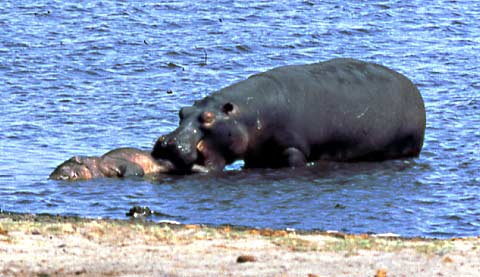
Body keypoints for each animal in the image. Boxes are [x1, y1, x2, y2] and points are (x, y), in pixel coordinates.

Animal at [152, 57, 426, 171]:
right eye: (182, 112)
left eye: (208, 118)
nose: (169, 142)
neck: (245, 115)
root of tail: (414, 89)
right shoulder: (256, 155)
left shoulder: (293, 149)